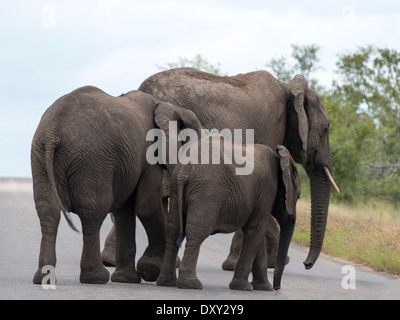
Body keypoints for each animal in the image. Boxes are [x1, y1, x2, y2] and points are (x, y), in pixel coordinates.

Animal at [154, 104, 300, 292]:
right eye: (298, 196)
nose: (277, 288)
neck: (281, 157)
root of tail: (186, 168)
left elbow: (257, 234)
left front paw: (263, 288)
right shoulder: (267, 189)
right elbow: (255, 229)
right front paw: (244, 288)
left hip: (175, 187)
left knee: (173, 230)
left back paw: (167, 282)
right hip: (207, 192)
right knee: (196, 232)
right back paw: (191, 285)